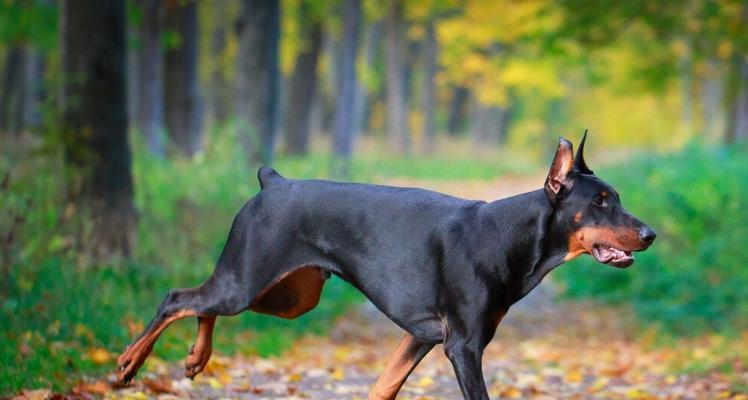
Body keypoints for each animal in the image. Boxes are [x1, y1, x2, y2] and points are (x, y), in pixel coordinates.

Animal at [115, 133, 656, 398]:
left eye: (617, 197)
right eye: (601, 202)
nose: (650, 233)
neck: (511, 236)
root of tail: (273, 182)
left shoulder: (421, 336)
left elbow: (383, 386)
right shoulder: (463, 345)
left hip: (289, 296)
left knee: (202, 303)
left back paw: (196, 357)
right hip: (248, 278)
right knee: (179, 298)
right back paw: (128, 363)